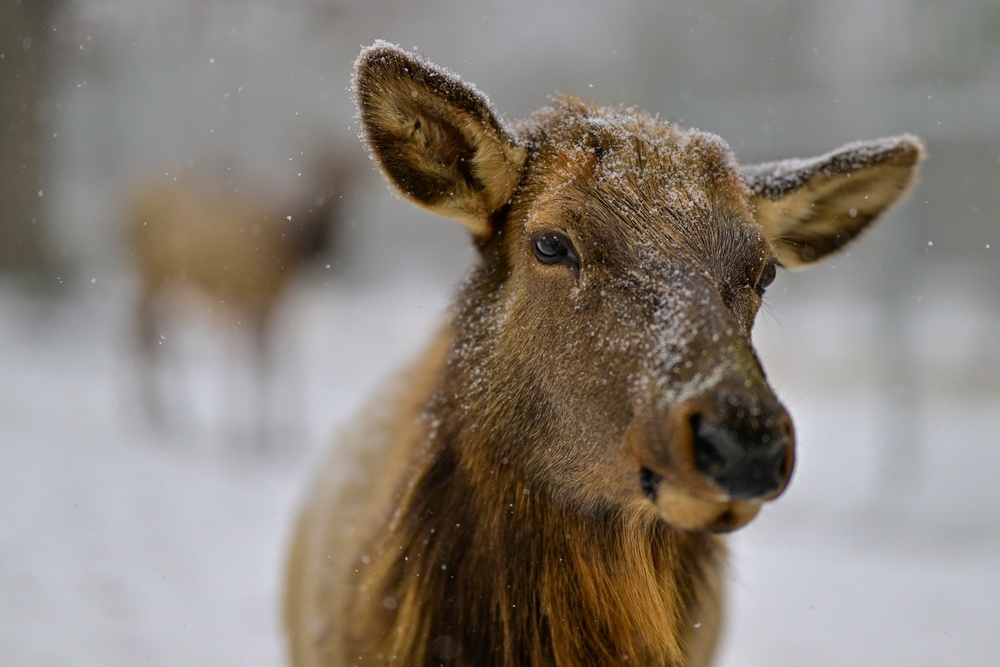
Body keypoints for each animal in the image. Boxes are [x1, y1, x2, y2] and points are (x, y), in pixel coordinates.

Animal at [126, 154, 360, 446]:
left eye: (347, 188)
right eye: (321, 177)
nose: (328, 242)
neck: (289, 246)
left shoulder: (272, 300)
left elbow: (271, 357)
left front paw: (277, 431)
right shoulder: (250, 295)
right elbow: (259, 361)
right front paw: (252, 435)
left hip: (159, 279)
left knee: (145, 329)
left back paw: (159, 412)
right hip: (154, 274)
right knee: (143, 329)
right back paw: (156, 414)